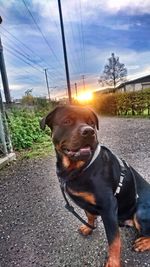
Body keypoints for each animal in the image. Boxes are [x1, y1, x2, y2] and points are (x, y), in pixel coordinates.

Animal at [40, 105, 150, 267]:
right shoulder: (87, 203)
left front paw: (113, 262)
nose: (89, 131)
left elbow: (114, 241)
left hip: (140, 212)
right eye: (67, 121)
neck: (79, 168)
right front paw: (88, 227)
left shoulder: (108, 206)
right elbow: (89, 215)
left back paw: (143, 243)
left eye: (91, 123)